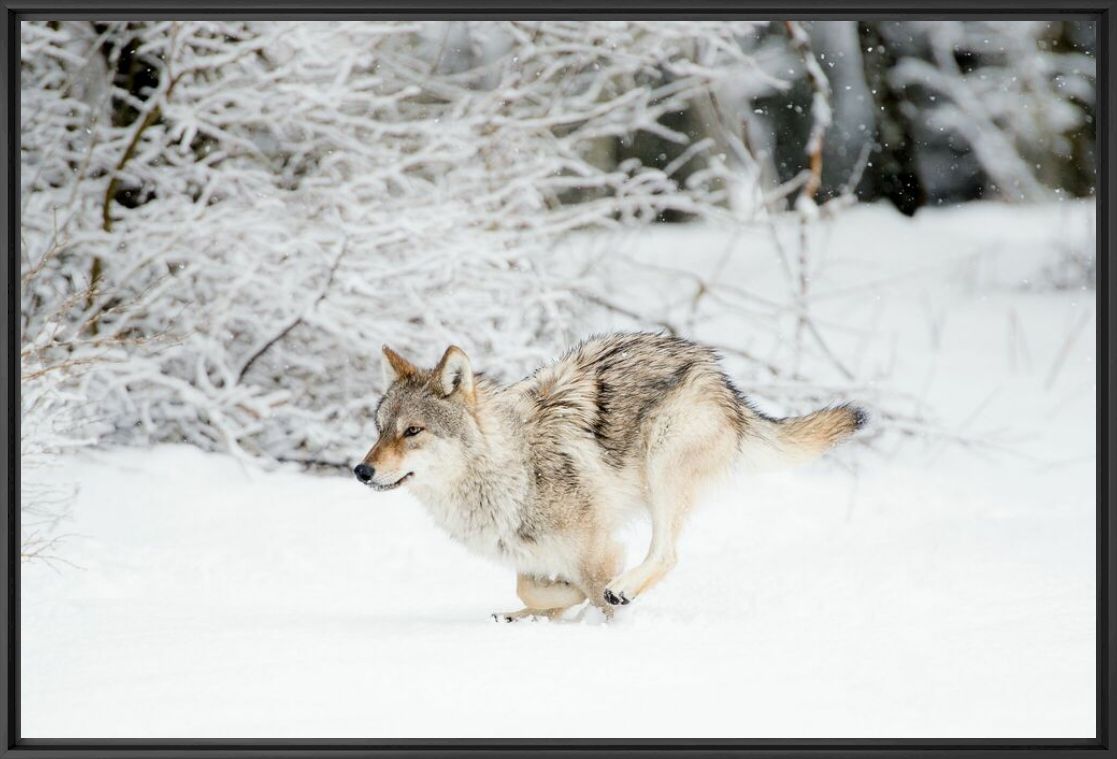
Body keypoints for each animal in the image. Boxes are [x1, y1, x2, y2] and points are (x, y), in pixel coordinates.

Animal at [354, 332, 865, 621]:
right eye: (379, 430)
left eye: (413, 431)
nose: (361, 470)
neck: (509, 468)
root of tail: (719, 375)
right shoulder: (531, 554)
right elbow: (531, 586)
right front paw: (551, 606)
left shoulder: (595, 546)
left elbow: (596, 585)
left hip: (663, 465)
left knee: (666, 554)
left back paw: (622, 589)